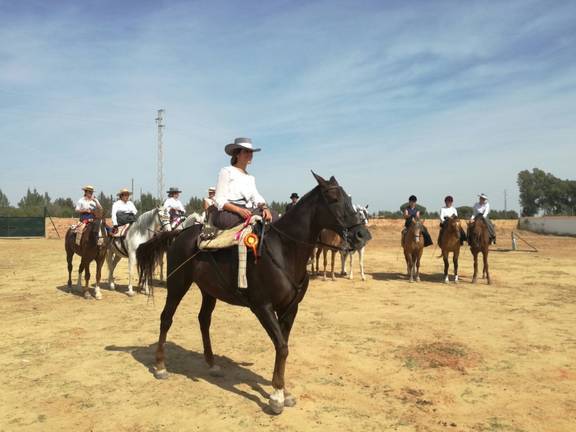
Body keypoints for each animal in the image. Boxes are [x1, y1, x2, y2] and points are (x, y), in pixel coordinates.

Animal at [136, 173, 369, 414]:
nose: (362, 234)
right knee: (166, 318)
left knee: (203, 320)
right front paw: (277, 397)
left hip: (209, 291)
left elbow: (283, 345)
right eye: (333, 198)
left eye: (349, 198)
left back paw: (212, 364)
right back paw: (160, 366)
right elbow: (282, 347)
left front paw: (283, 391)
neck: (284, 250)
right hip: (177, 284)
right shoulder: (262, 307)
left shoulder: (290, 309)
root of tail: (179, 233)